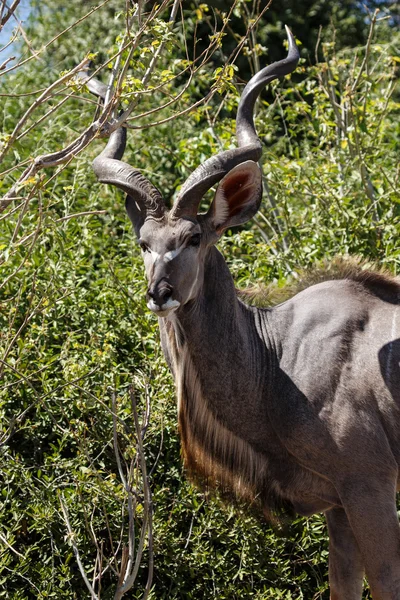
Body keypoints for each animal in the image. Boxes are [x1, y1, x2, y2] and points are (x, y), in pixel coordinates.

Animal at [89, 28, 400, 600]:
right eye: (144, 243)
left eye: (194, 237)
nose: (160, 293)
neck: (277, 359)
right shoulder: (339, 502)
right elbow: (343, 584)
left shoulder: (368, 482)